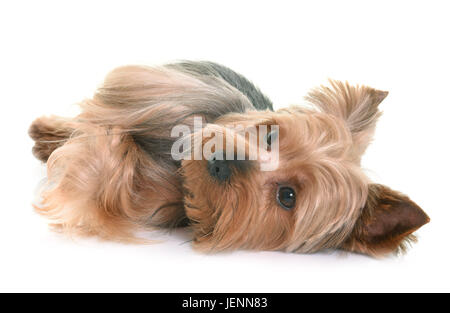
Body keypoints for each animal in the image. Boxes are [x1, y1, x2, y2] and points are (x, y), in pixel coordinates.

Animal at [28, 61, 428, 256]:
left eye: (287, 197)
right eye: (271, 135)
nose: (221, 160)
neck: (178, 175)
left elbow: (107, 176)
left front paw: (94, 161)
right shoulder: (156, 93)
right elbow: (111, 113)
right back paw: (47, 133)